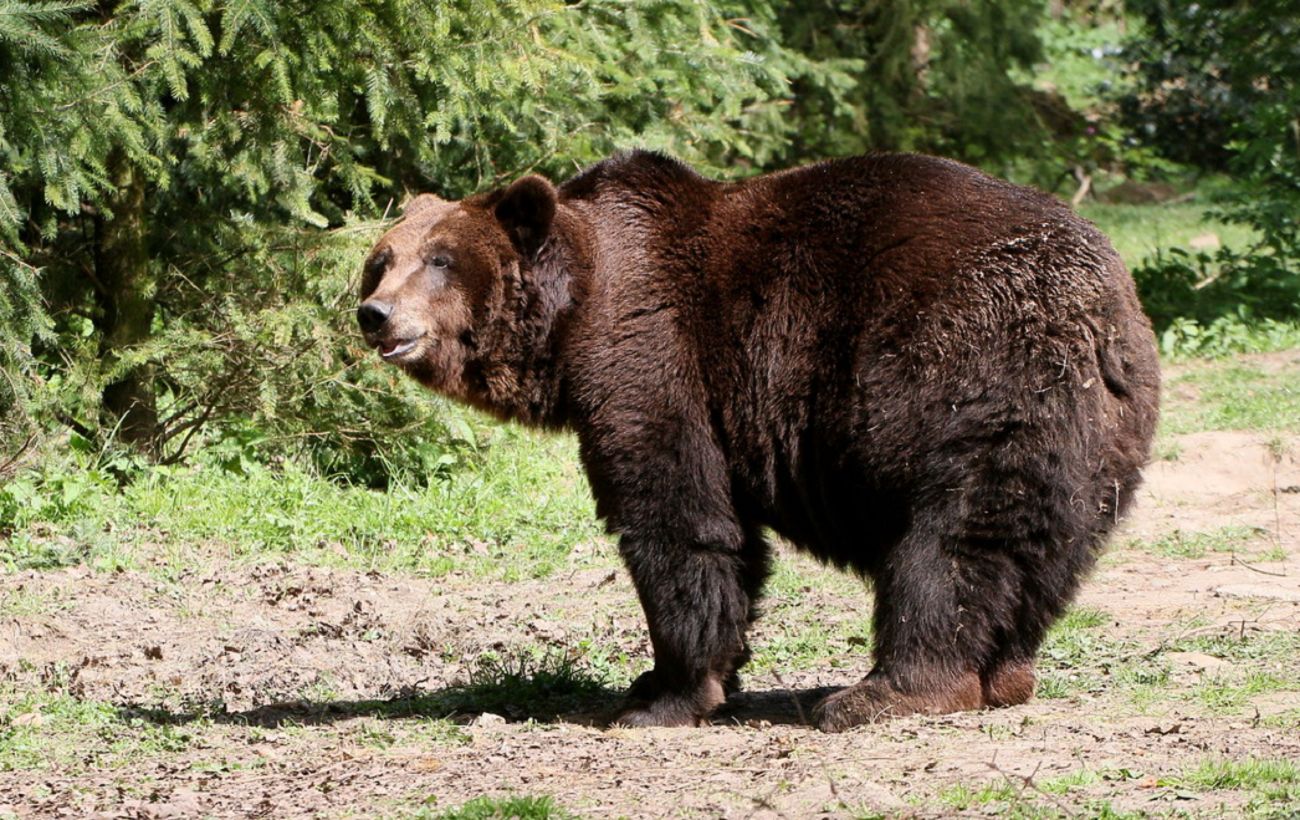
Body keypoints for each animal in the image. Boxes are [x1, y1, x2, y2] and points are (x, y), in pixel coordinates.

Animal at [353, 152, 1159, 732]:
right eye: (382, 260)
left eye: (440, 260)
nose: (375, 314)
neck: (574, 311)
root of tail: (1104, 307)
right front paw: (669, 678)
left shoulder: (655, 356)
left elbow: (677, 519)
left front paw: (666, 695)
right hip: (1093, 437)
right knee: (1041, 548)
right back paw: (1005, 675)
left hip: (969, 371)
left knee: (952, 542)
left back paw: (885, 691)